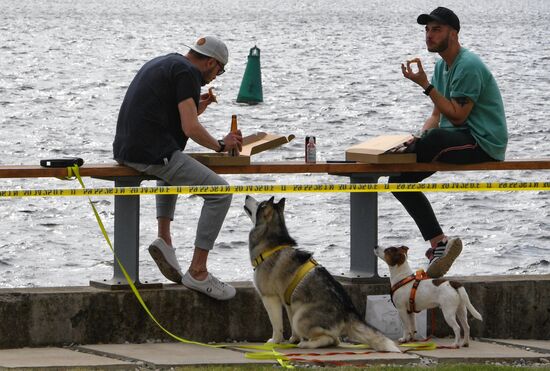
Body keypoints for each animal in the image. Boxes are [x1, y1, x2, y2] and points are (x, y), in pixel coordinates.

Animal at [246, 196, 402, 354]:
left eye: (259, 203)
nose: (247, 196)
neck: (272, 245)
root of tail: (348, 309)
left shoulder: (270, 298)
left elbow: (276, 325)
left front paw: (275, 341)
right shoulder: (289, 302)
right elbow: (289, 322)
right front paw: (293, 339)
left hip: (300, 317)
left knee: (331, 339)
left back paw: (307, 344)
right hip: (298, 311)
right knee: (334, 339)